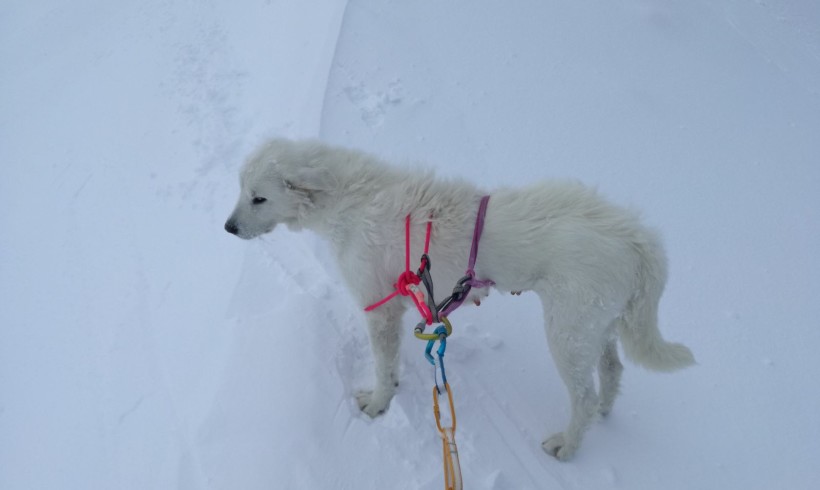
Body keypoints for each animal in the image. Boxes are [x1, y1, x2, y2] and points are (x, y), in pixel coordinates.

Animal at [224, 137, 692, 460]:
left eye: (259, 197)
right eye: (241, 189)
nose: (228, 228)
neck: (351, 199)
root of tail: (637, 238)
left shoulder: (379, 308)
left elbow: (382, 366)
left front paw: (378, 404)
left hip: (568, 334)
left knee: (585, 396)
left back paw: (568, 444)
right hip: (598, 326)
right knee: (612, 371)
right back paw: (605, 414)